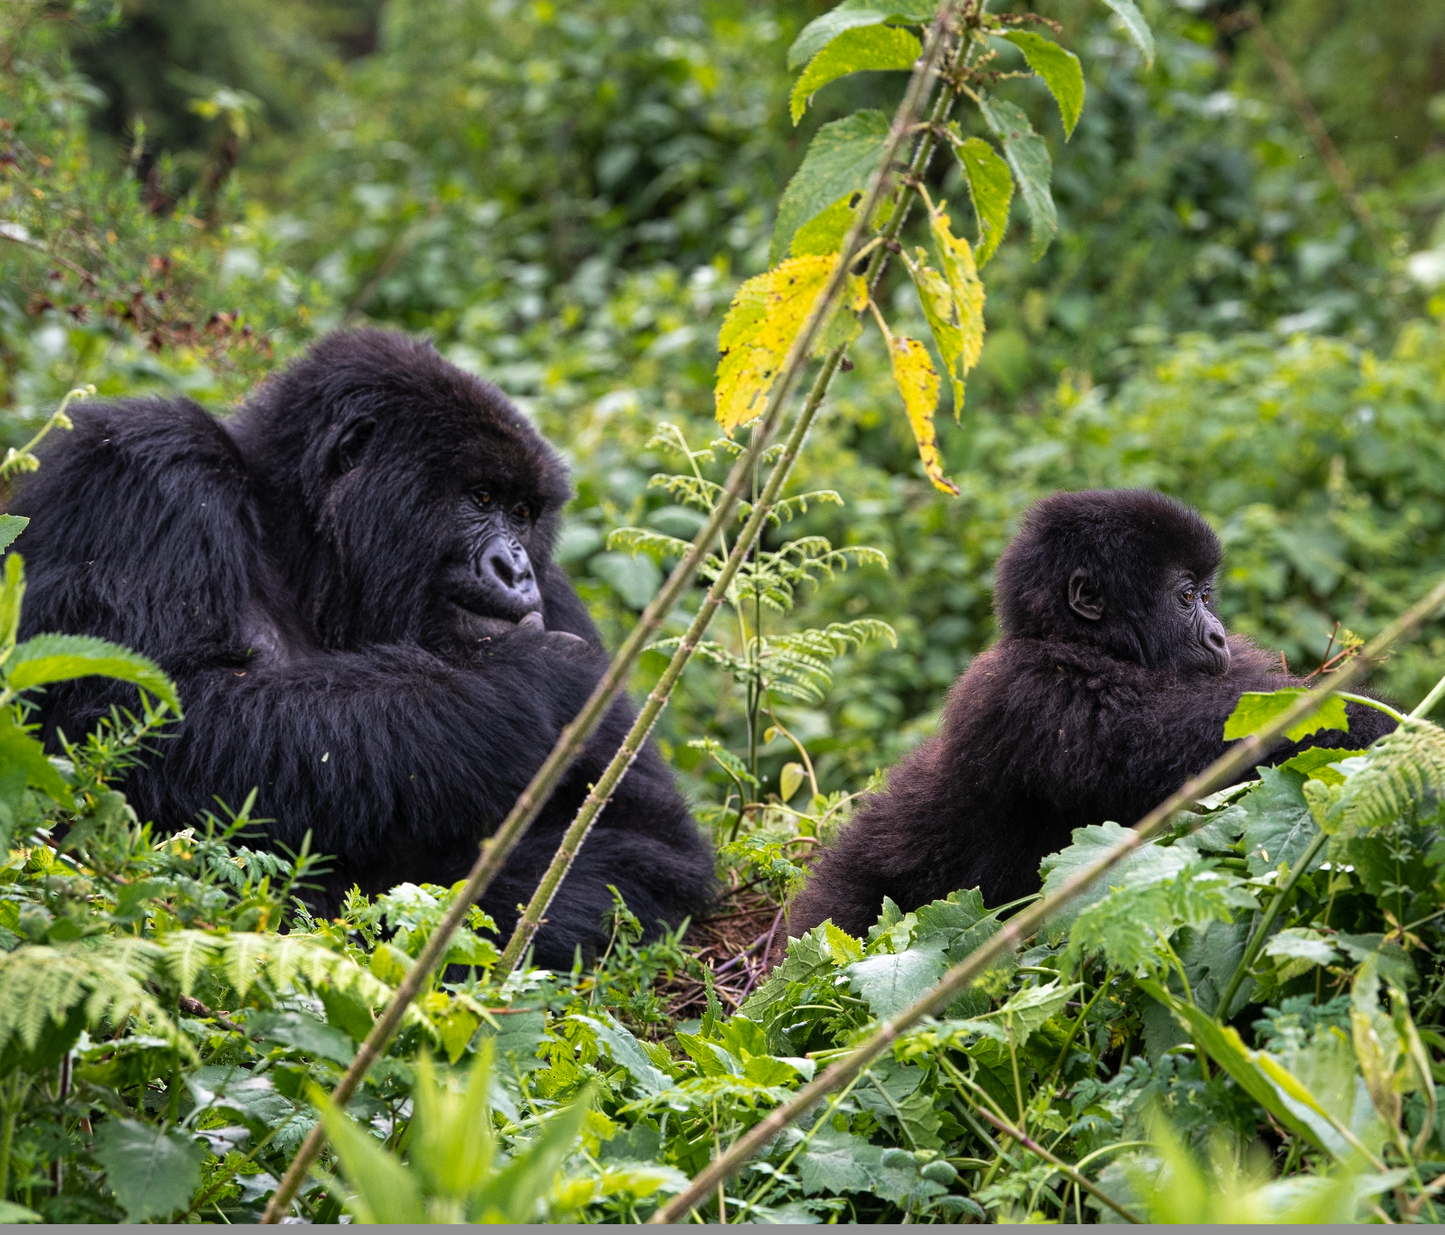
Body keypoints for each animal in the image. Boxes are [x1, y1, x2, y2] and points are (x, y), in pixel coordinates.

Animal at [11, 327, 710, 964]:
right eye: (480, 497)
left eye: (523, 513)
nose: (515, 571)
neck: (302, 545)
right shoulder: (146, 468)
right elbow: (135, 717)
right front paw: (536, 684)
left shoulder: (557, 593)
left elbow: (646, 841)